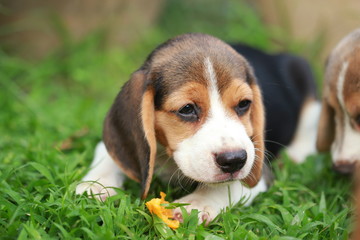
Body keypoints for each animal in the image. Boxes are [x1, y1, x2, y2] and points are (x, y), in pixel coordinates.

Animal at [76, 33, 318, 223]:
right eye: (187, 109)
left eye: (243, 104)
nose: (234, 160)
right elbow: (108, 154)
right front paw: (96, 184)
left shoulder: (258, 166)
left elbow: (225, 186)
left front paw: (195, 204)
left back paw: (296, 153)